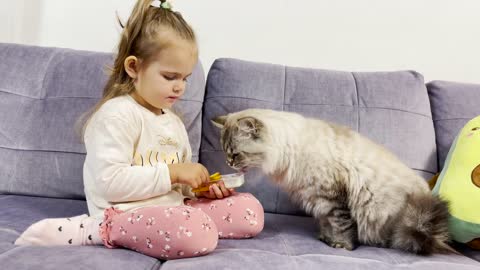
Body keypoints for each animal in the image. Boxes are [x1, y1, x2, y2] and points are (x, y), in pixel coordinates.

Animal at [213, 108, 454, 255]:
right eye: (225, 152)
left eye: (235, 154)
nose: (228, 163)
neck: (291, 150)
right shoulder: (318, 200)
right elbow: (327, 223)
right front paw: (326, 238)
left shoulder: (334, 197)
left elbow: (341, 225)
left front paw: (341, 246)